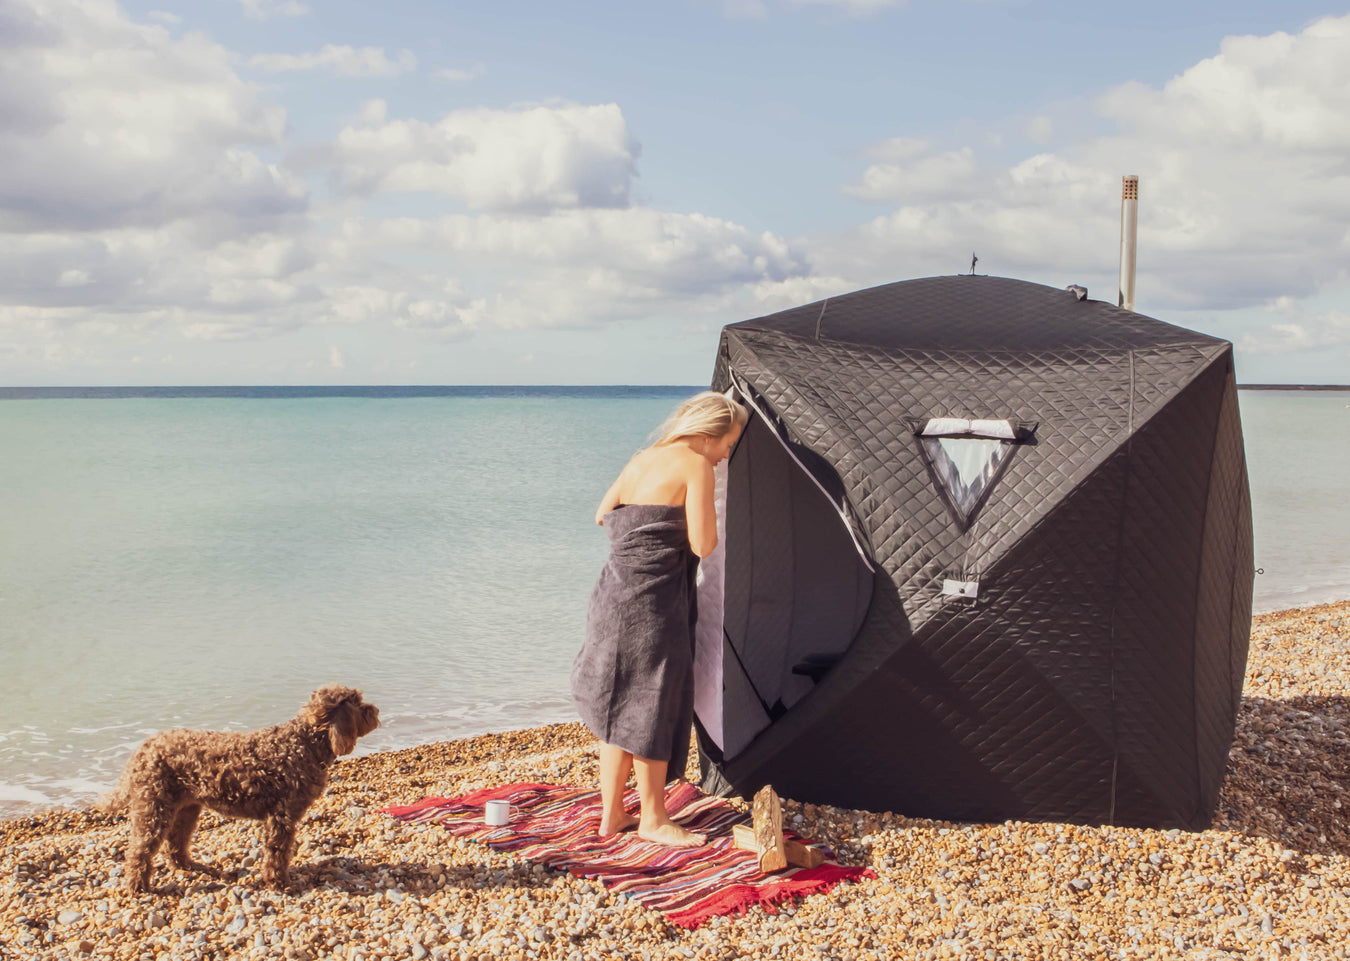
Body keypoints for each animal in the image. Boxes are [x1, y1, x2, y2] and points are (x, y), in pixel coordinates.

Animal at [100, 682, 380, 890]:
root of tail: (142, 748)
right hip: (154, 808)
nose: (376, 711)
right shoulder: (281, 817)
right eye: (358, 704)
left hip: (187, 808)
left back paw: (192, 867)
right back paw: (138, 886)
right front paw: (279, 883)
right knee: (139, 851)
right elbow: (277, 854)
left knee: (175, 845)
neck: (303, 744)